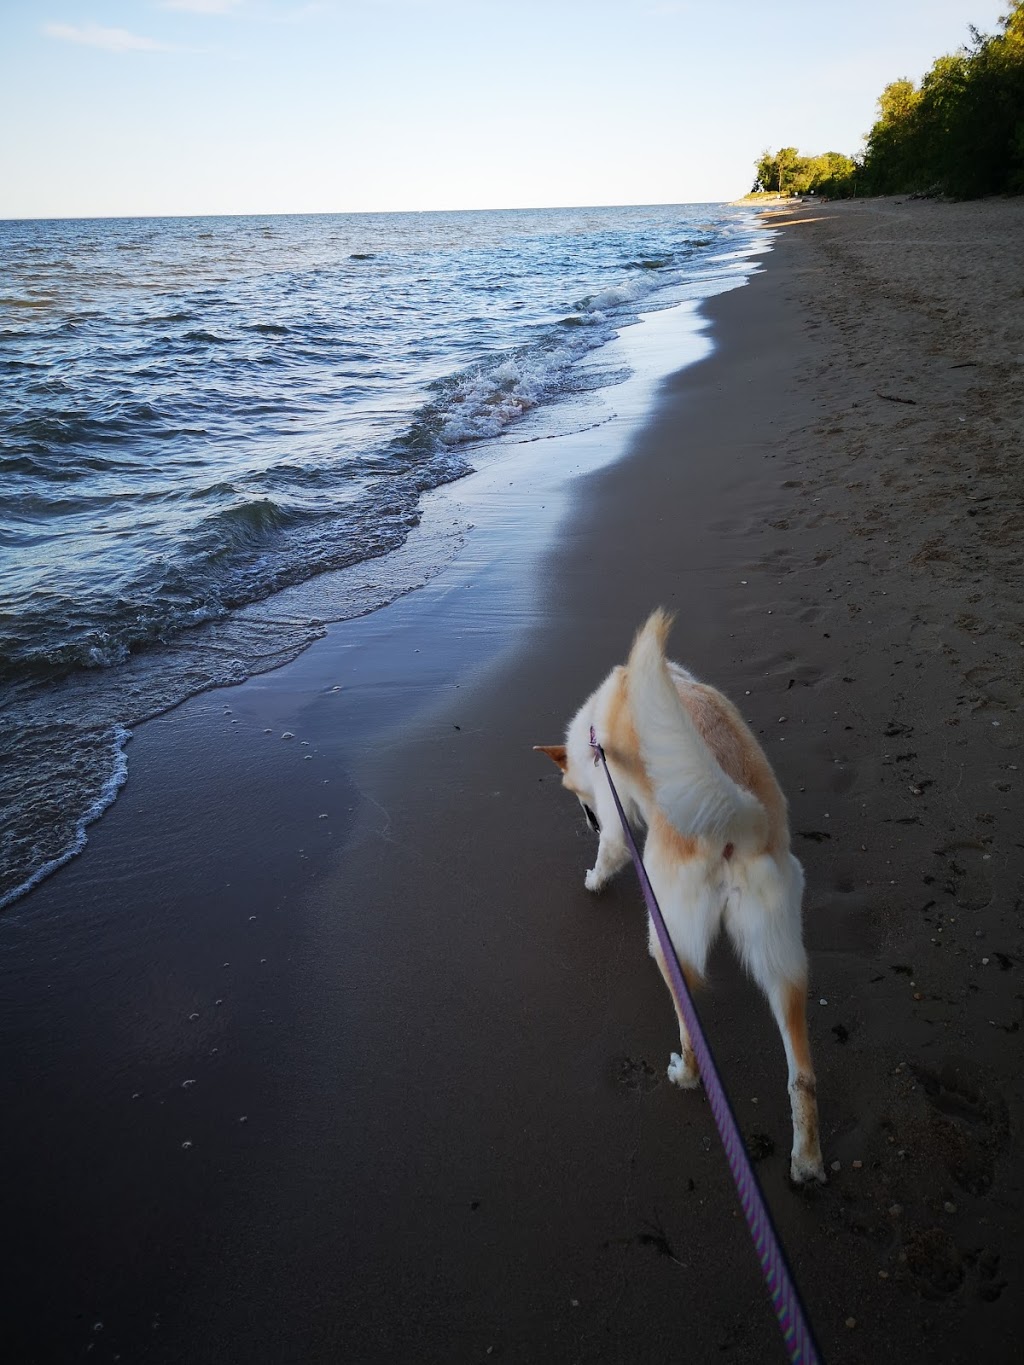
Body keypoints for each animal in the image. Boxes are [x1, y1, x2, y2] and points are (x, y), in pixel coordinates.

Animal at [537, 611, 824, 1184]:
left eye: (581, 799)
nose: (585, 819)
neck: (596, 729)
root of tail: (740, 822)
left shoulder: (615, 822)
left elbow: (609, 852)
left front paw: (592, 880)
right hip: (782, 954)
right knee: (800, 1069)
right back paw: (806, 1160)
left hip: (666, 934)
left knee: (691, 1026)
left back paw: (684, 1074)